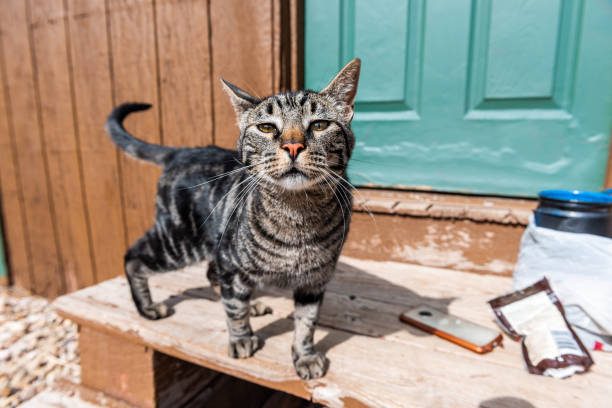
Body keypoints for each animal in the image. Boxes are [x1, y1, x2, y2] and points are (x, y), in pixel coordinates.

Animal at [106, 58, 358, 380]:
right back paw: (148, 307)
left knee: (213, 276)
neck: (297, 216)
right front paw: (240, 339)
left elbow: (306, 324)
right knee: (134, 256)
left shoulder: (315, 280)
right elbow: (234, 309)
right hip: (180, 241)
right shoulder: (230, 260)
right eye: (266, 127)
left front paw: (304, 356)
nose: (293, 146)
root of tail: (180, 152)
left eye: (319, 124)